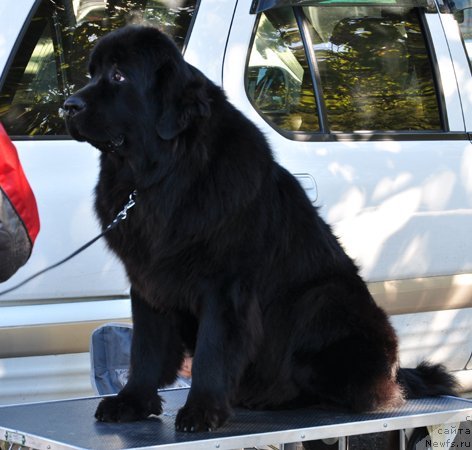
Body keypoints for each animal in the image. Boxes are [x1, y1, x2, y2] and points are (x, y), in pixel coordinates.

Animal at [62, 25, 458, 432]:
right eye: (92, 74)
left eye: (118, 76)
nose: (68, 106)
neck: (162, 177)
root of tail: (396, 370)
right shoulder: (147, 280)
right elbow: (145, 348)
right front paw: (133, 402)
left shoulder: (224, 286)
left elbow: (211, 351)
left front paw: (202, 410)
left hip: (324, 298)